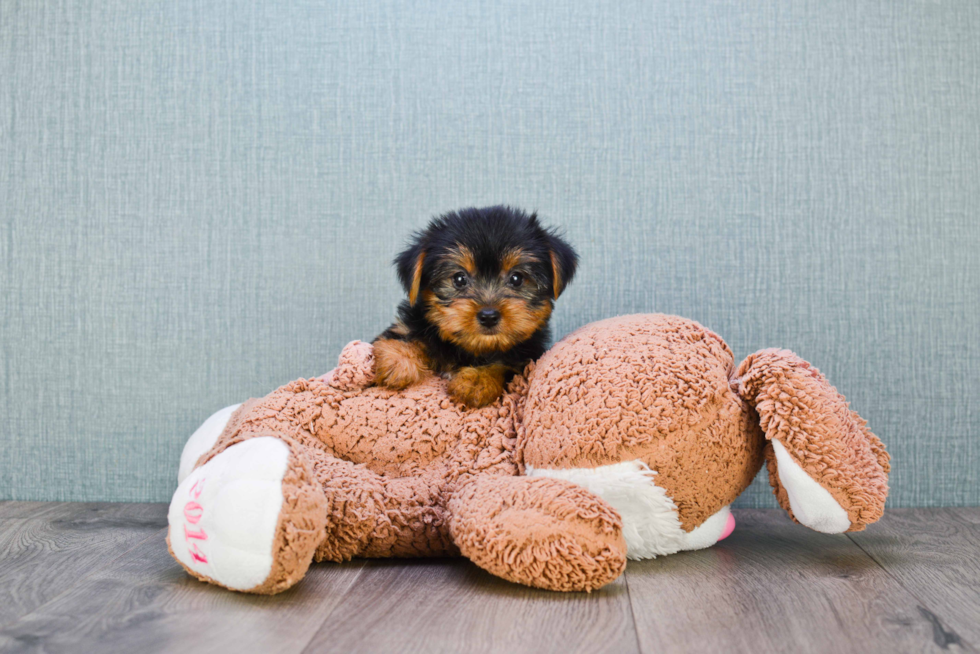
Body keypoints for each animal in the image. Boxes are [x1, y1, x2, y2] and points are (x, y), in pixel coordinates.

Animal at [374, 208, 576, 408]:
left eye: (517, 278)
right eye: (459, 278)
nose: (488, 316)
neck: (472, 349)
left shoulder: (525, 359)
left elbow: (503, 364)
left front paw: (477, 380)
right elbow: (407, 334)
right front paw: (399, 360)